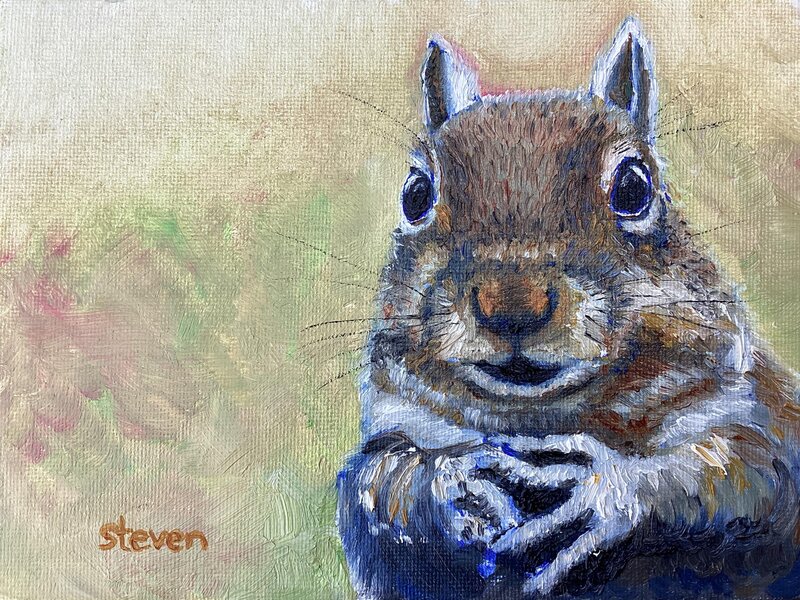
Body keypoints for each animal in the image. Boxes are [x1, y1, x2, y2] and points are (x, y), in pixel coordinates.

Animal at [336, 17, 800, 600]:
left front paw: (603, 490)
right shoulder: (393, 426)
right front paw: (450, 479)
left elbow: (740, 472)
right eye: (415, 193)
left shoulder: (758, 416)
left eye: (634, 186)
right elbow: (380, 484)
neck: (541, 418)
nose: (512, 305)